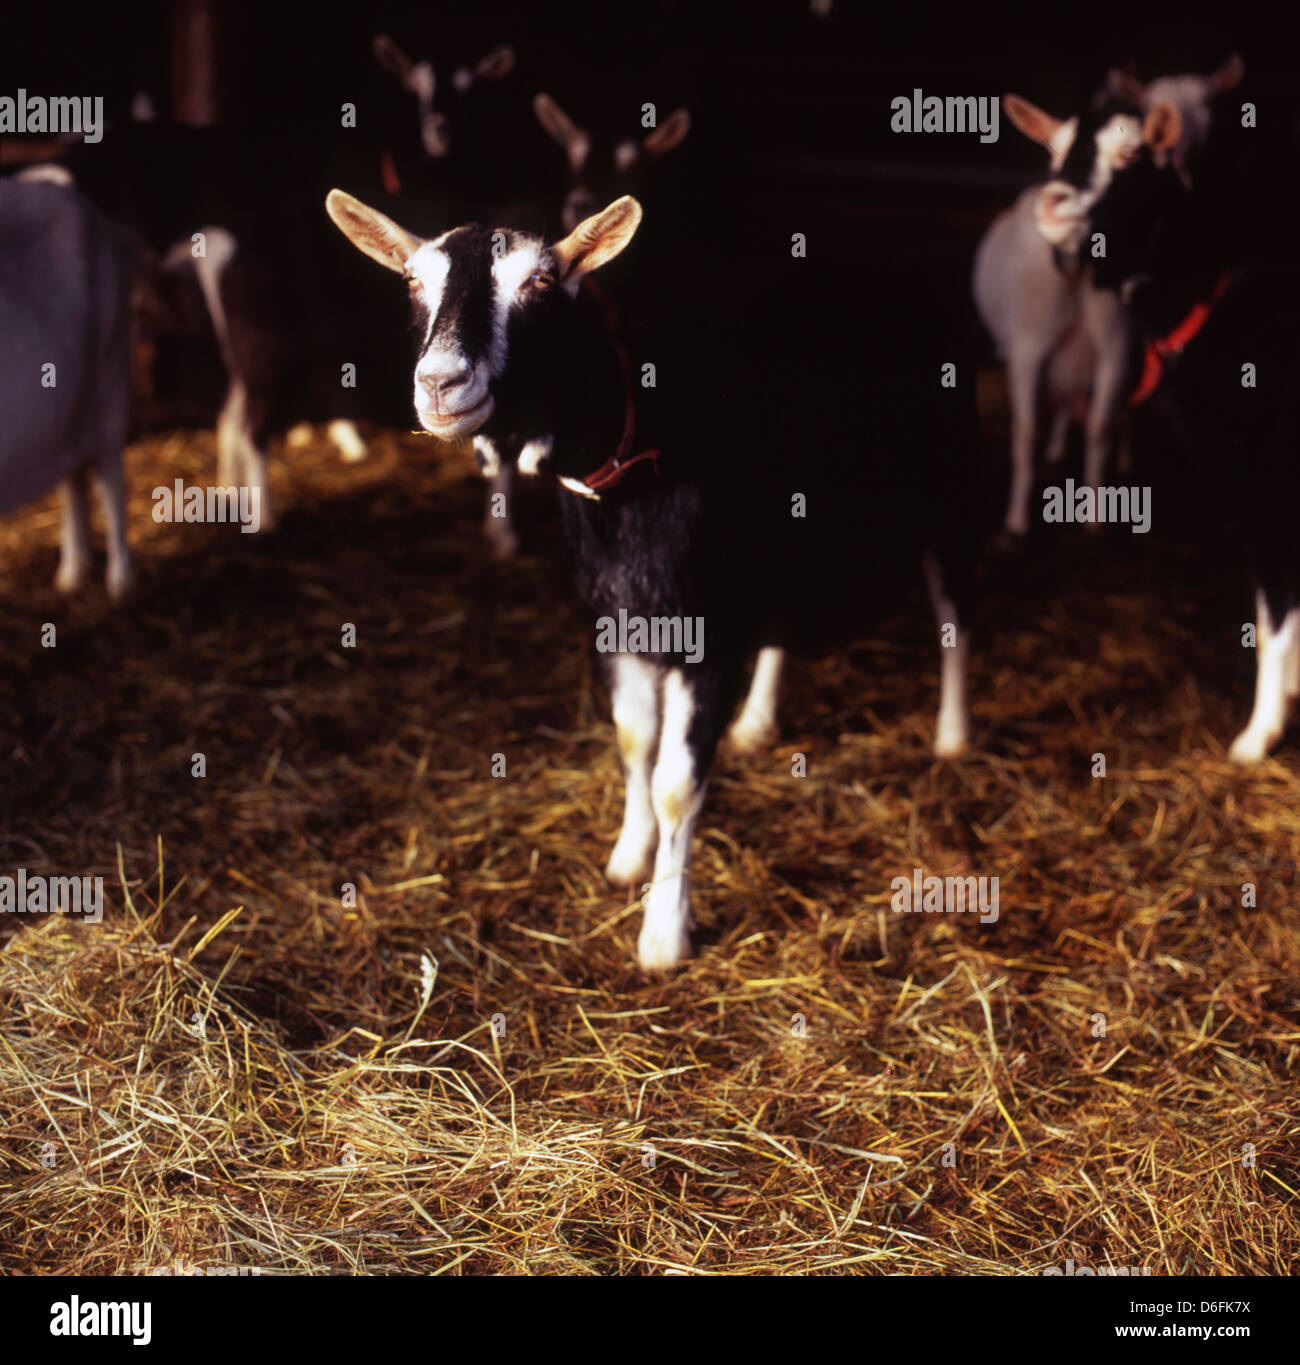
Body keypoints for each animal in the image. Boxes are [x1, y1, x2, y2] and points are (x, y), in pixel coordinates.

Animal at [325, 188, 978, 970]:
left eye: (540, 282)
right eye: (414, 281)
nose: (441, 383)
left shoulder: (705, 634)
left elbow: (675, 782)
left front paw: (665, 932)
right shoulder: (620, 618)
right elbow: (634, 738)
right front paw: (629, 855)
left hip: (948, 484)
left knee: (955, 609)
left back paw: (953, 735)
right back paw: (759, 721)